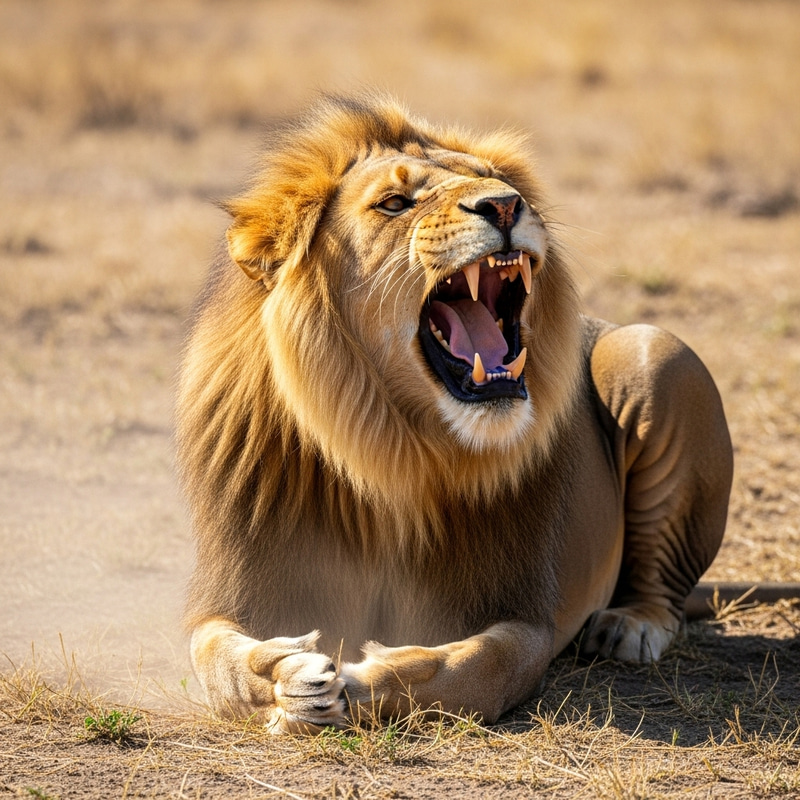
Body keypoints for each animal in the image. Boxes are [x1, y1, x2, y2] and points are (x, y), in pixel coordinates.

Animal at [176, 92, 733, 732]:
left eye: (496, 181)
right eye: (394, 203)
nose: (505, 204)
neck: (388, 449)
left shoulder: (527, 618)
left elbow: (477, 669)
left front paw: (364, 681)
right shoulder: (230, 596)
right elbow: (218, 662)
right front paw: (289, 677)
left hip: (652, 350)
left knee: (662, 589)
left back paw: (629, 626)